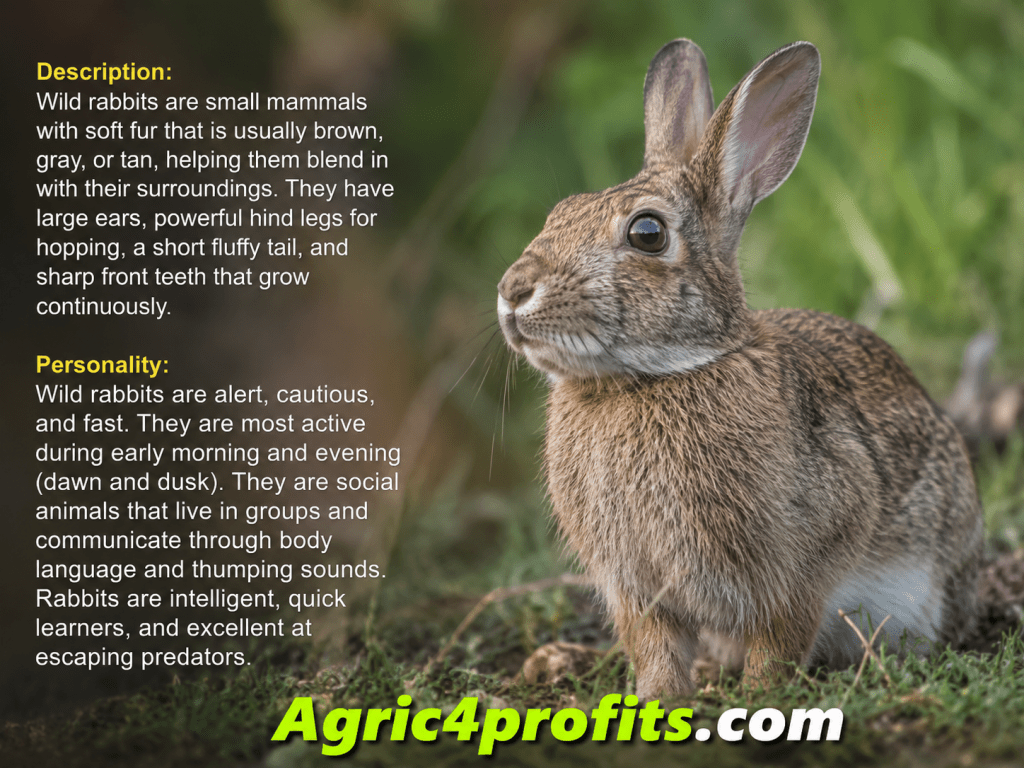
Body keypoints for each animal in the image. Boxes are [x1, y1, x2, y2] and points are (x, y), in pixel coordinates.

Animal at [496, 39, 984, 699]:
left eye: (647, 232)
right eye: (560, 211)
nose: (512, 291)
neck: (650, 377)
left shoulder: (802, 566)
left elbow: (779, 642)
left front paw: (758, 701)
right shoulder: (636, 589)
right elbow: (655, 650)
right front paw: (656, 701)